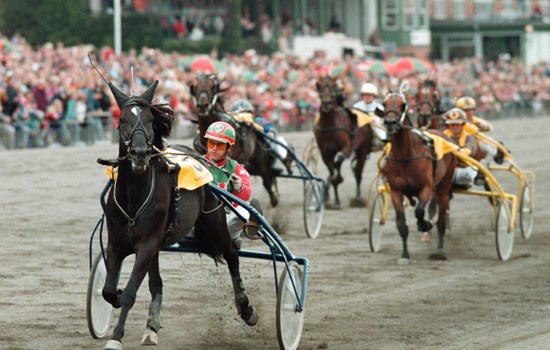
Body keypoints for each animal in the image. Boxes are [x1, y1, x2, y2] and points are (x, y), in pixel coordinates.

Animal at [100, 80, 258, 350]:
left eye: (149, 119)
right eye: (122, 120)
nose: (139, 153)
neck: (134, 197)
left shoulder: (147, 243)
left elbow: (131, 292)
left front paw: (116, 336)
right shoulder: (117, 242)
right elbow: (108, 290)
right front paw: (118, 298)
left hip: (214, 221)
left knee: (232, 255)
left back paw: (246, 308)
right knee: (156, 283)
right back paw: (151, 327)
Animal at [191, 73, 280, 206]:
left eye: (213, 87)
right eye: (195, 87)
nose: (203, 105)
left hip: (258, 157)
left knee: (266, 179)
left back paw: (274, 199)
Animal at [314, 74, 376, 209]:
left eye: (333, 89)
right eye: (320, 90)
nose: (326, 103)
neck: (329, 126)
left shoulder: (346, 148)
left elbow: (338, 163)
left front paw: (338, 179)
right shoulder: (325, 153)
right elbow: (331, 170)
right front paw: (330, 197)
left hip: (362, 149)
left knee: (358, 173)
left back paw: (357, 199)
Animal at [380, 82, 462, 262]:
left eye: (403, 104)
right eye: (384, 103)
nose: (390, 122)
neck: (405, 155)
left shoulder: (426, 188)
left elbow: (420, 211)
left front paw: (425, 225)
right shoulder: (396, 191)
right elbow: (401, 225)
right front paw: (405, 255)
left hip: (444, 185)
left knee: (441, 219)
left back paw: (439, 250)